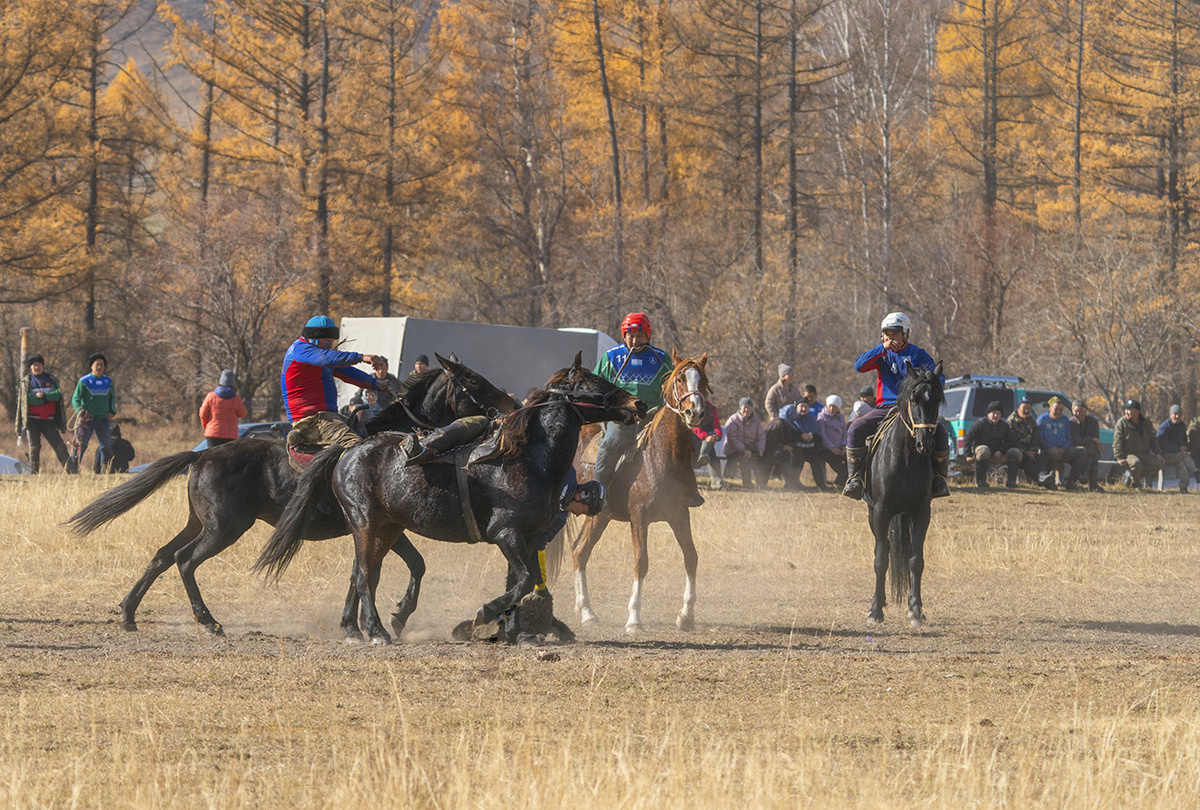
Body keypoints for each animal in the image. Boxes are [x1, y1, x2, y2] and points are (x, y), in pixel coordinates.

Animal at [64, 355, 516, 638]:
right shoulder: (379, 525)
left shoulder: (380, 527)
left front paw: (359, 623)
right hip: (225, 528)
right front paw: (391, 617)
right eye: (472, 381)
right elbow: (395, 568)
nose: (510, 402)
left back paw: (128, 614)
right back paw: (208, 621)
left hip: (201, 523)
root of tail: (203, 453)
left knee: (161, 555)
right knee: (184, 560)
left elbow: (381, 569)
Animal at [255, 355, 648, 648]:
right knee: (365, 574)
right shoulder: (506, 534)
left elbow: (522, 580)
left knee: (365, 572)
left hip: (387, 527)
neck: (528, 457)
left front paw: (517, 634)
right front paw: (484, 616)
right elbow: (521, 580)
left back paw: (363, 626)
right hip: (365, 523)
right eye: (592, 383)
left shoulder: (528, 537)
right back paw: (377, 631)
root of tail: (349, 451)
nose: (638, 403)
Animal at [566, 352, 705, 638]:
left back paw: (586, 612)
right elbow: (641, 562)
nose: (694, 412)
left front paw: (686, 616)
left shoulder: (679, 515)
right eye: (679, 379)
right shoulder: (639, 516)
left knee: (579, 550)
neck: (660, 455)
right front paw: (633, 619)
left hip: (599, 516)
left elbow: (691, 557)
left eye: (703, 379)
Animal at [868, 362, 940, 628]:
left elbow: (915, 560)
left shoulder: (921, 512)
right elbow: (881, 560)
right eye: (914, 398)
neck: (906, 458)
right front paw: (875, 611)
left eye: (937, 399)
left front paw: (916, 610)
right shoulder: (881, 512)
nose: (925, 443)